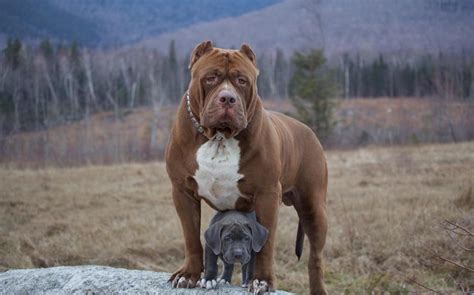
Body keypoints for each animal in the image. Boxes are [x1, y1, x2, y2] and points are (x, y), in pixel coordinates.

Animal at [166, 40, 326, 294]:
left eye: (242, 80)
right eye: (211, 77)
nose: (227, 98)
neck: (219, 137)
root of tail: (308, 129)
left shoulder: (267, 195)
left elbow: (266, 244)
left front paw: (262, 280)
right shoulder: (182, 191)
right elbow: (191, 236)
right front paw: (188, 274)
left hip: (314, 208)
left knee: (316, 258)